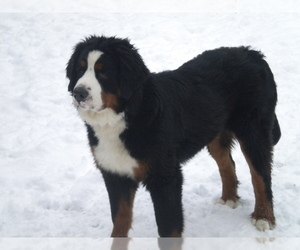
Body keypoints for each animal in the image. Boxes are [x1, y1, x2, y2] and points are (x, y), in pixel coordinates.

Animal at [66, 35, 282, 236]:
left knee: (261, 174)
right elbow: (120, 223)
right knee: (228, 164)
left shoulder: (165, 177)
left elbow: (168, 230)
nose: (78, 93)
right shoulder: (115, 173)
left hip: (254, 131)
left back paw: (263, 217)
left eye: (103, 72)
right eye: (80, 69)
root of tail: (252, 53)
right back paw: (229, 199)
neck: (125, 115)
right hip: (215, 134)